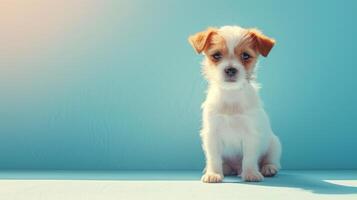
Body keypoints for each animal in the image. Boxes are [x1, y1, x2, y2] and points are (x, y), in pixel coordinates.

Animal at [188, 25, 282, 182]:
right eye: (216, 55)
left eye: (245, 56)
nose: (230, 69)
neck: (231, 95)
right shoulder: (211, 133)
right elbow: (213, 157)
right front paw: (213, 173)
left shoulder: (251, 133)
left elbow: (249, 158)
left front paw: (251, 173)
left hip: (274, 144)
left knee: (271, 160)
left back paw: (268, 168)